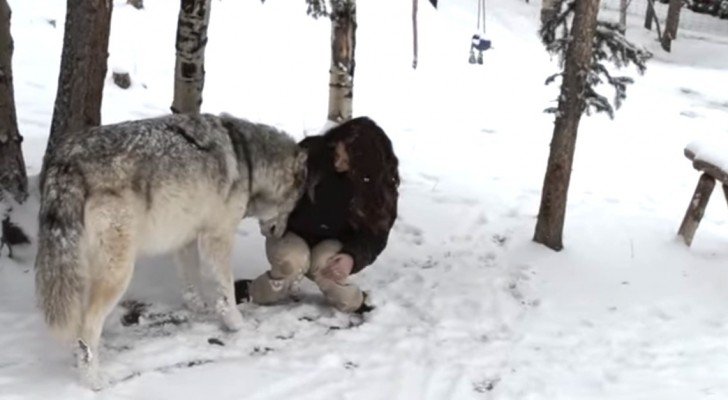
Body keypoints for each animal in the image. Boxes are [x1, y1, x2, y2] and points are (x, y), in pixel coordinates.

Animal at [34, 113, 307, 388]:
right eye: (295, 206)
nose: (281, 234)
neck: (249, 161)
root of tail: (68, 160)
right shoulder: (217, 238)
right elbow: (226, 291)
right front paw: (236, 323)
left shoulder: (186, 239)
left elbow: (191, 283)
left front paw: (199, 308)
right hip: (118, 272)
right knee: (86, 329)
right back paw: (95, 381)